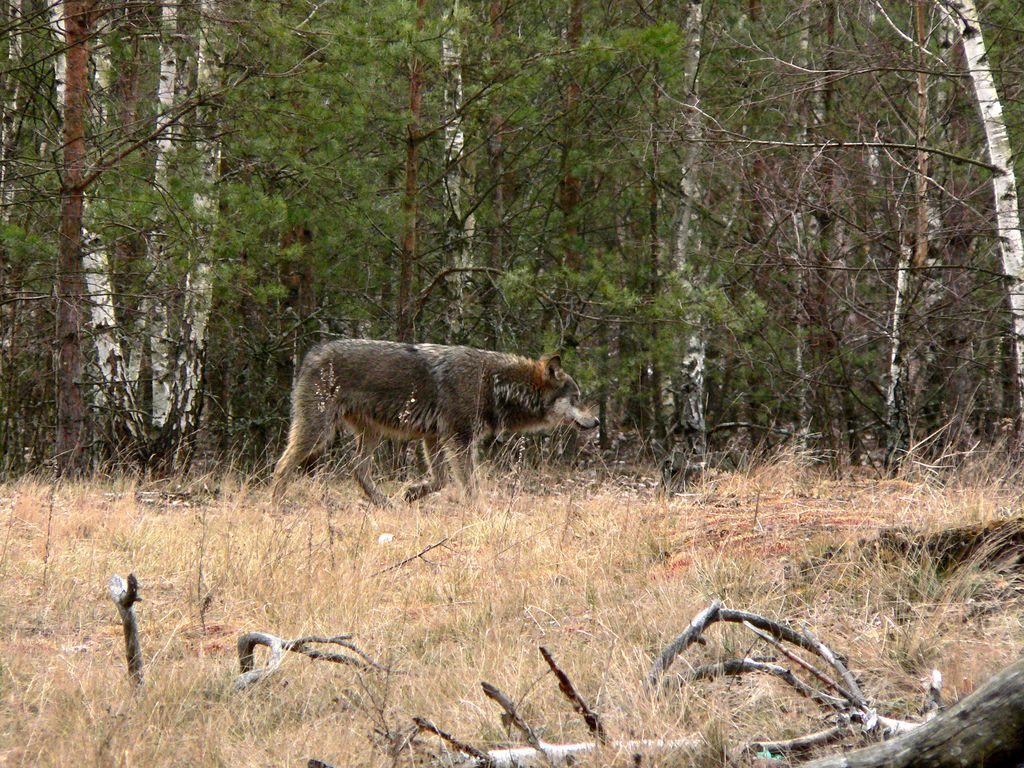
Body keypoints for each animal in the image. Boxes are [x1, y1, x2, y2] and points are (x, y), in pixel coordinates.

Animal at [270, 342, 598, 507]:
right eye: (577, 398)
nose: (595, 422)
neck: (494, 383)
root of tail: (311, 353)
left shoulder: (434, 438)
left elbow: (440, 480)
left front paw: (412, 493)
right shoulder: (459, 440)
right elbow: (469, 485)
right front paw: (480, 512)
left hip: (370, 434)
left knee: (357, 470)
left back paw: (386, 504)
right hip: (319, 433)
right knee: (282, 464)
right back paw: (276, 506)